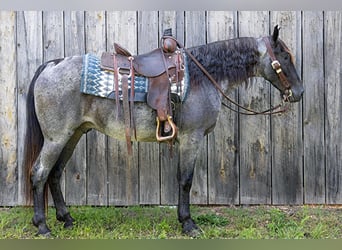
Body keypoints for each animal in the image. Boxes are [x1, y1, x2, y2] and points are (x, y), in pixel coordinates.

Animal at [22, 26, 304, 237]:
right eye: (285, 57)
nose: (299, 93)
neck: (203, 76)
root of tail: (51, 65)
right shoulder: (191, 138)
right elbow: (185, 180)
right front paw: (188, 224)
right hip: (56, 138)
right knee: (39, 174)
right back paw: (43, 226)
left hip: (73, 135)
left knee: (55, 174)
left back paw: (66, 218)